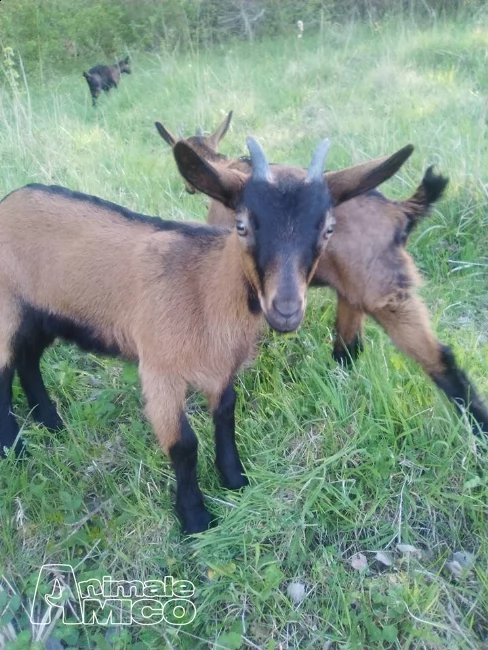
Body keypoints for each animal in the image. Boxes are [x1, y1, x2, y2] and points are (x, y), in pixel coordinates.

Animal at [0, 136, 402, 533]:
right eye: (242, 226)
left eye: (328, 229)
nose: (286, 309)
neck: (203, 291)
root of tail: (11, 198)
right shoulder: (159, 370)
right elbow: (183, 444)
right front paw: (195, 518)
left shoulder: (222, 368)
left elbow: (225, 414)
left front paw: (235, 479)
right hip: (9, 309)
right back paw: (14, 448)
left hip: (42, 314)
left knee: (27, 358)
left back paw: (50, 423)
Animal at [158, 119, 488, 438]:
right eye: (244, 226)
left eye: (329, 229)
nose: (286, 312)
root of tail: (401, 212)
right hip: (361, 290)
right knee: (350, 349)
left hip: (384, 293)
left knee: (439, 359)